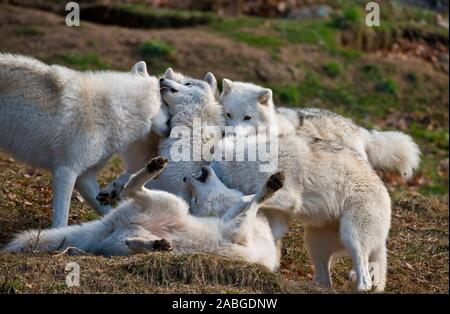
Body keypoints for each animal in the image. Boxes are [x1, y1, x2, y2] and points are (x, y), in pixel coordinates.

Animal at [0, 53, 169, 226]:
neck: (119, 109)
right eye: (165, 105)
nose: (171, 123)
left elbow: (106, 212)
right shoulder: (66, 172)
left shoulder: (84, 177)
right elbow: (61, 221)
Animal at [2, 156, 284, 272]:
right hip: (172, 204)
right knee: (130, 188)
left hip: (124, 243)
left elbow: (249, 206)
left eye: (194, 196)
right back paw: (153, 167)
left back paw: (156, 245)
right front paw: (270, 186)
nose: (185, 177)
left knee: (131, 242)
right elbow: (254, 202)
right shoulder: (238, 230)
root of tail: (108, 225)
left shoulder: (239, 230)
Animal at [213, 133, 392, 292]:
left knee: (365, 279)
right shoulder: (278, 214)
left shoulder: (289, 198)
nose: (205, 172)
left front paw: (227, 217)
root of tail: (386, 195)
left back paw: (361, 288)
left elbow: (243, 199)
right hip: (314, 244)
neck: (249, 161)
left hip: (352, 237)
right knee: (325, 280)